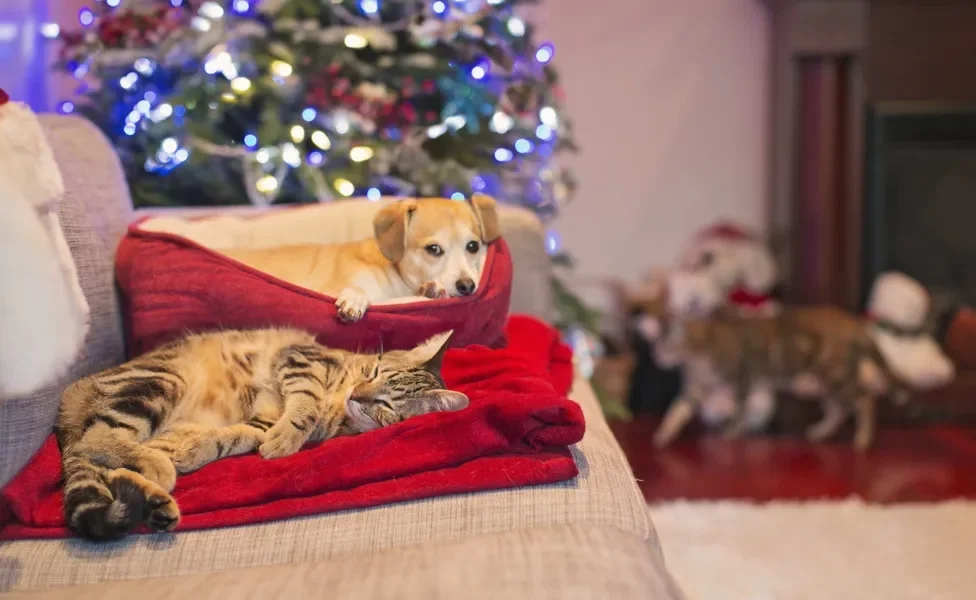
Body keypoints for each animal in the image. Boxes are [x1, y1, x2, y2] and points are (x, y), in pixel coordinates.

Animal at [57, 328, 468, 540]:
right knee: (96, 440)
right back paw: (158, 467)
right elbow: (306, 401)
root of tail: (70, 401)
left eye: (385, 405)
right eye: (373, 371)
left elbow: (236, 436)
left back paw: (158, 496)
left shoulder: (262, 420)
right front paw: (290, 434)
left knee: (109, 463)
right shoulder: (300, 359)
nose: (357, 395)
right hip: (159, 383)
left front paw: (203, 448)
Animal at [219, 195, 496, 322]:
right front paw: (354, 299)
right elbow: (355, 290)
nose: (467, 286)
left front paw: (433, 290)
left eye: (473, 246)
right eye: (434, 249)